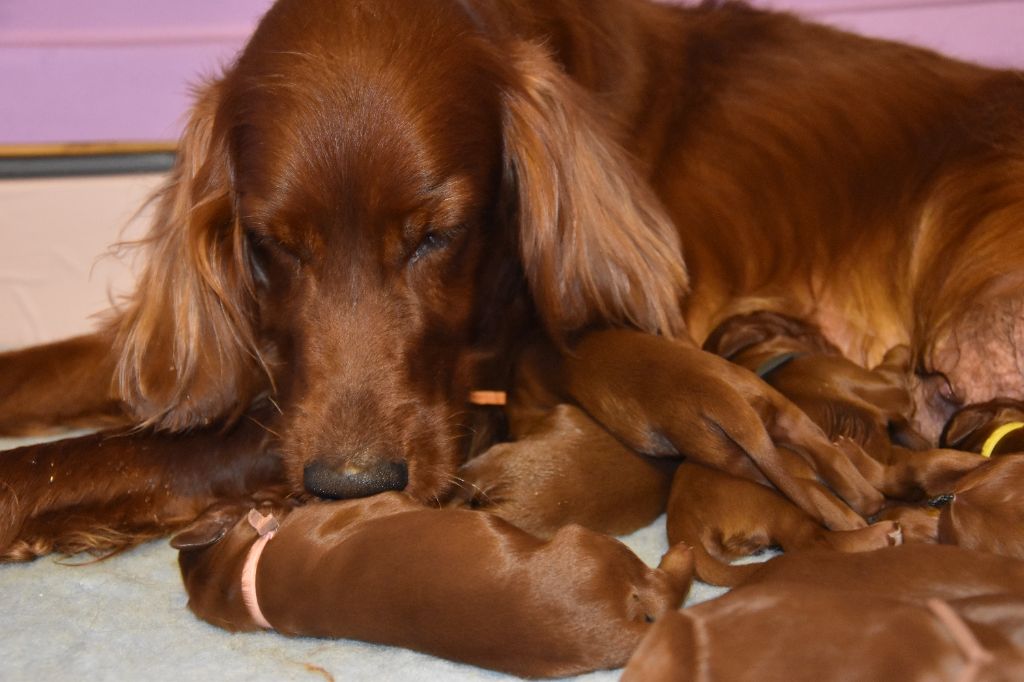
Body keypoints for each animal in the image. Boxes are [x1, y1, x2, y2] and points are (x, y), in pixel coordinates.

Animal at [174, 489, 696, 675]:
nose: (291, 491)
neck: (246, 572)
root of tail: (623, 635)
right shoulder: (382, 502)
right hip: (592, 543)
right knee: (664, 588)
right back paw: (681, 554)